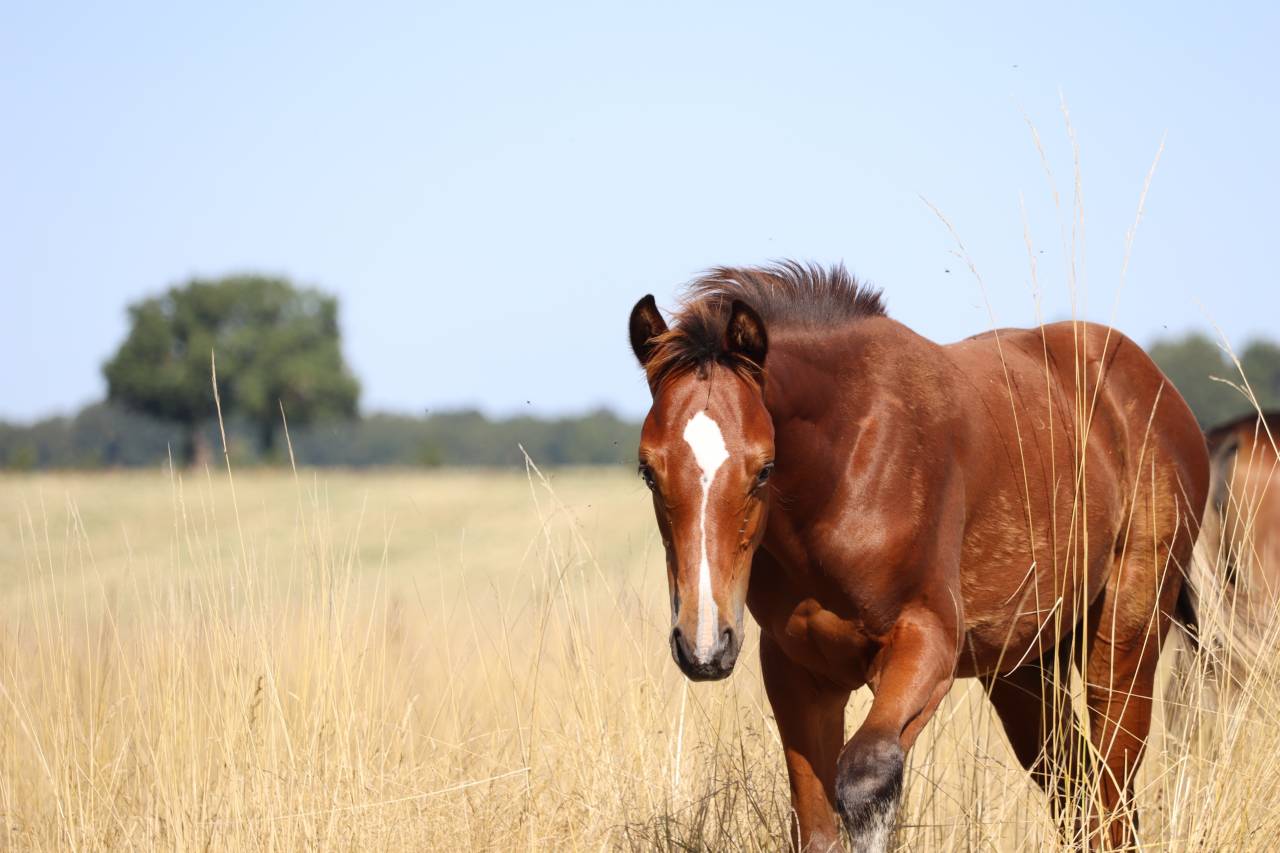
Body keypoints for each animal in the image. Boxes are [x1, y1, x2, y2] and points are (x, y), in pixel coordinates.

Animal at [627, 262, 1208, 852]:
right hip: (1024, 669)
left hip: (1124, 644)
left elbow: (866, 775)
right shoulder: (796, 667)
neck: (844, 466)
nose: (704, 646)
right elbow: (816, 826)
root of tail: (1156, 389)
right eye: (648, 470)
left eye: (764, 469)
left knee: (1112, 794)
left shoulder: (927, 641)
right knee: (1076, 790)